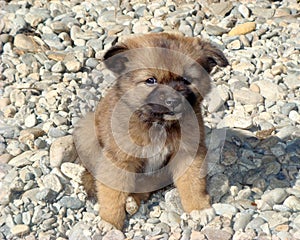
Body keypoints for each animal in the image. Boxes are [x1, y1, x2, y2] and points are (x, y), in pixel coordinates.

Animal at [74, 31, 229, 229]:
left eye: (186, 80)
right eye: (151, 80)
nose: (173, 101)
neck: (157, 124)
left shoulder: (189, 153)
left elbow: (193, 182)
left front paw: (198, 208)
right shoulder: (118, 159)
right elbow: (112, 193)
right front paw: (110, 222)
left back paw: (132, 201)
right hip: (87, 131)